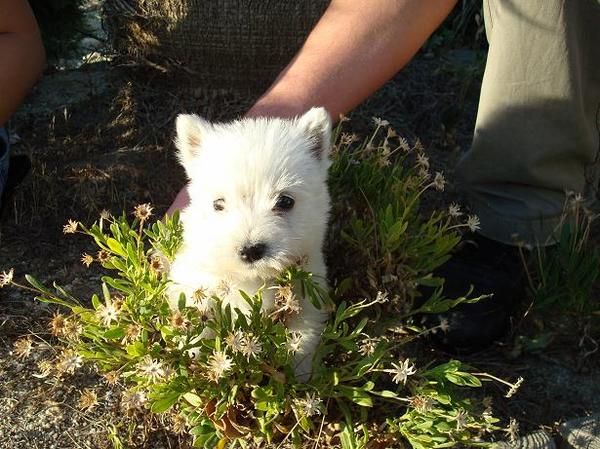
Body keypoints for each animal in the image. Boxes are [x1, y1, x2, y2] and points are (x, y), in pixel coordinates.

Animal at [166, 107, 330, 376]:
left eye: (285, 201)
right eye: (218, 204)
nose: (251, 250)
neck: (253, 280)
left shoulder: (307, 295)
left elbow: (301, 338)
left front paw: (300, 376)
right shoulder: (195, 280)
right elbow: (198, 318)